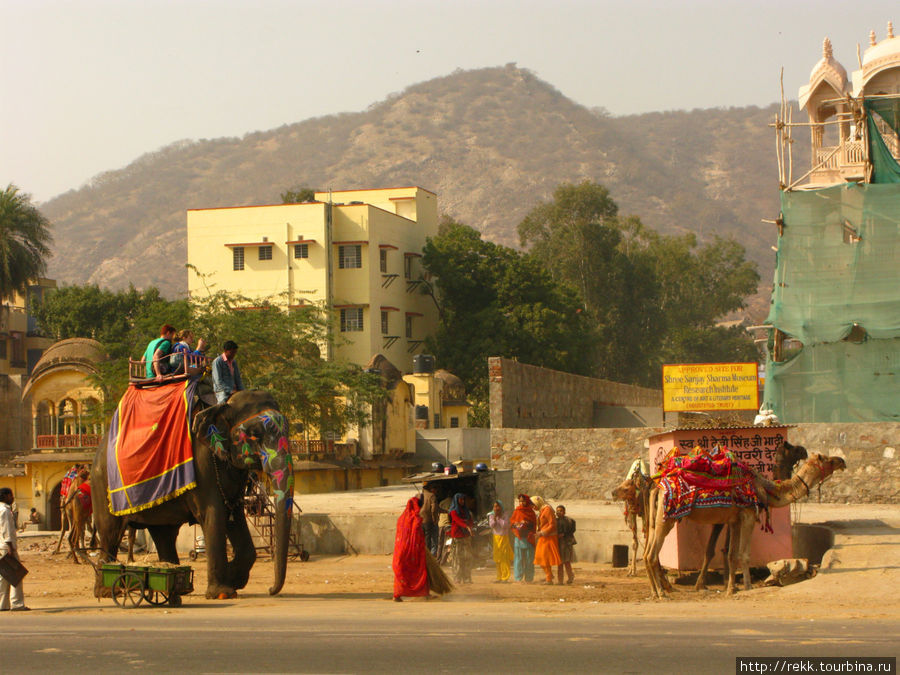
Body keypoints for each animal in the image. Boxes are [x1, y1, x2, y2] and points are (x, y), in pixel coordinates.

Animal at [90, 388, 292, 600]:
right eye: (254, 435)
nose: (270, 590)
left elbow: (234, 516)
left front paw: (235, 580)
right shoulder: (202, 466)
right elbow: (214, 515)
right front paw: (223, 593)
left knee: (164, 533)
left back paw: (172, 583)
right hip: (102, 484)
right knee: (110, 533)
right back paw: (108, 591)